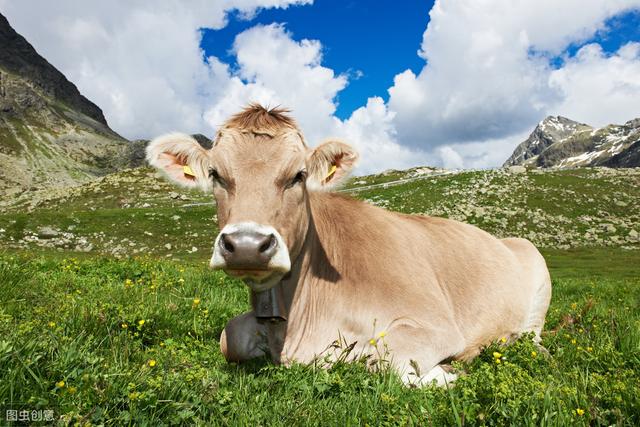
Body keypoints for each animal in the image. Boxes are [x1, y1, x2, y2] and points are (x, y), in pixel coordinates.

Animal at [145, 104, 552, 388]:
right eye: (216, 174)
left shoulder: (436, 325)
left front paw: (445, 373)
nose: (246, 245)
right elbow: (229, 338)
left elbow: (387, 359)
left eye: (298, 176)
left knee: (533, 337)